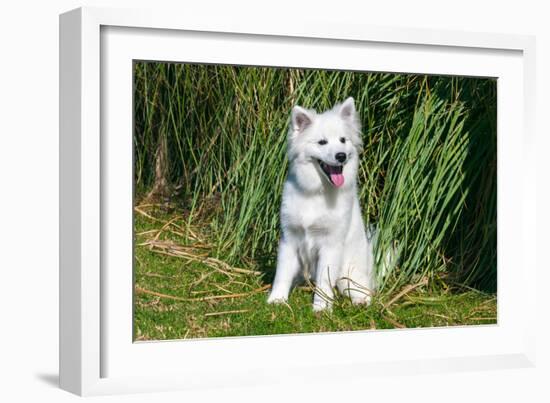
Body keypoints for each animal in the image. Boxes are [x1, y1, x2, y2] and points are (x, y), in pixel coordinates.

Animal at [268, 98, 380, 312]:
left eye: (343, 140)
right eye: (322, 142)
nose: (341, 156)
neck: (316, 193)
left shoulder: (330, 245)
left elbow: (324, 282)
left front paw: (321, 307)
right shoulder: (289, 239)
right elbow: (281, 274)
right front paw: (277, 299)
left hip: (349, 273)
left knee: (360, 289)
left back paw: (361, 300)